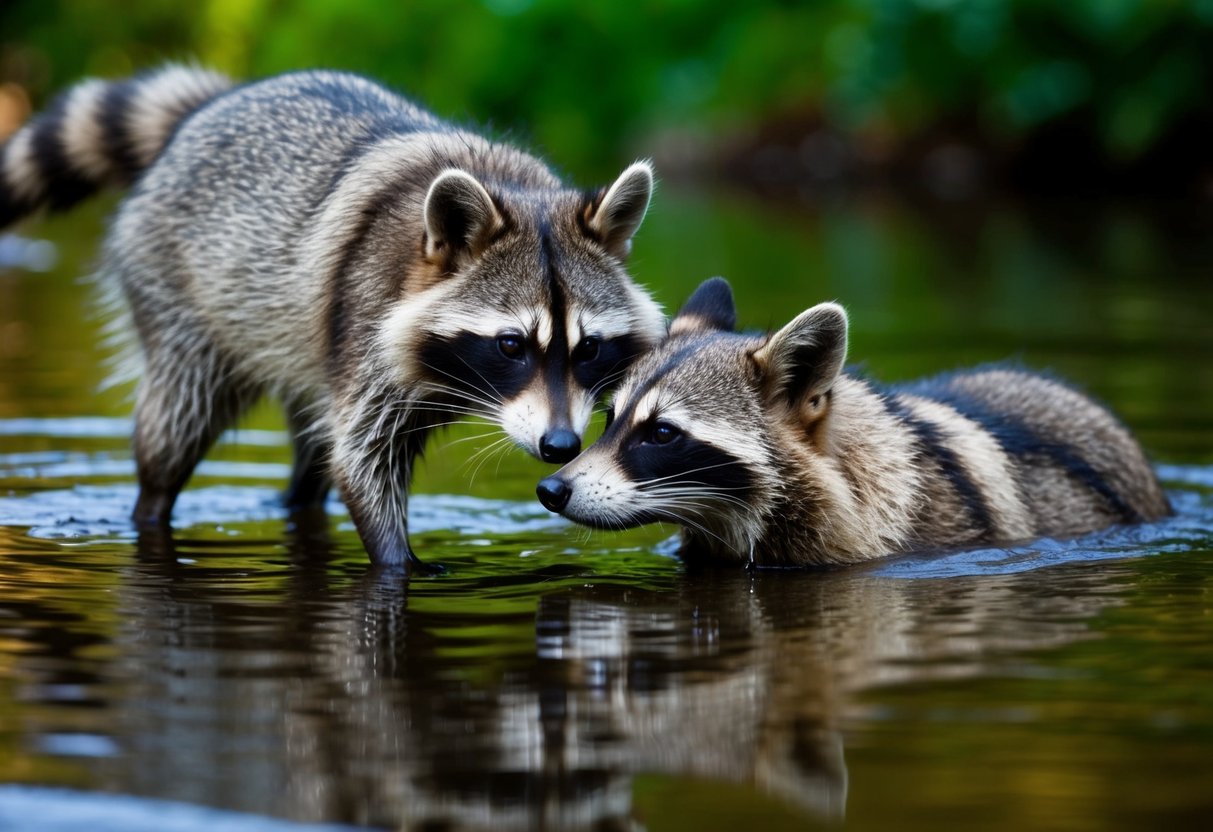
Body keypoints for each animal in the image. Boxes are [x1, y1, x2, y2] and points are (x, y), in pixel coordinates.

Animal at [0, 65, 665, 569]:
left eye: (588, 348)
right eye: (510, 345)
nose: (560, 446)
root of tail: (205, 111)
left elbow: (345, 452)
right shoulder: (365, 316)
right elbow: (360, 458)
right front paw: (399, 561)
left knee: (310, 449)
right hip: (176, 293)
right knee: (175, 426)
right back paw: (151, 506)